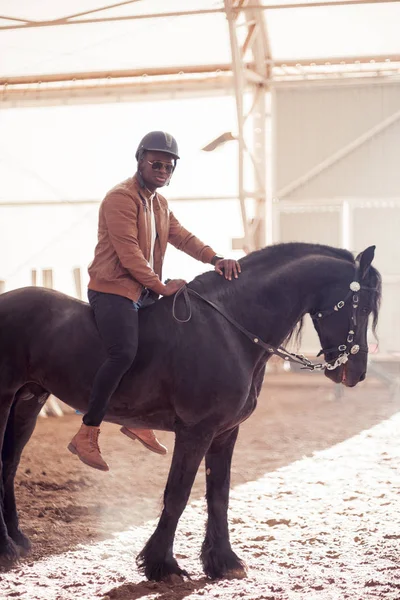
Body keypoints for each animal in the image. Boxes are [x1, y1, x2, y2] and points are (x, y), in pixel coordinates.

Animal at [0, 241, 380, 580]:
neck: (229, 329)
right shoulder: (195, 431)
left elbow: (219, 494)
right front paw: (162, 564)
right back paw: (7, 547)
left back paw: (17, 539)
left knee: (9, 464)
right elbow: (178, 494)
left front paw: (223, 561)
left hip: (28, 401)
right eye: (361, 307)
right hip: (4, 399)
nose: (357, 373)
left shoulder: (225, 433)